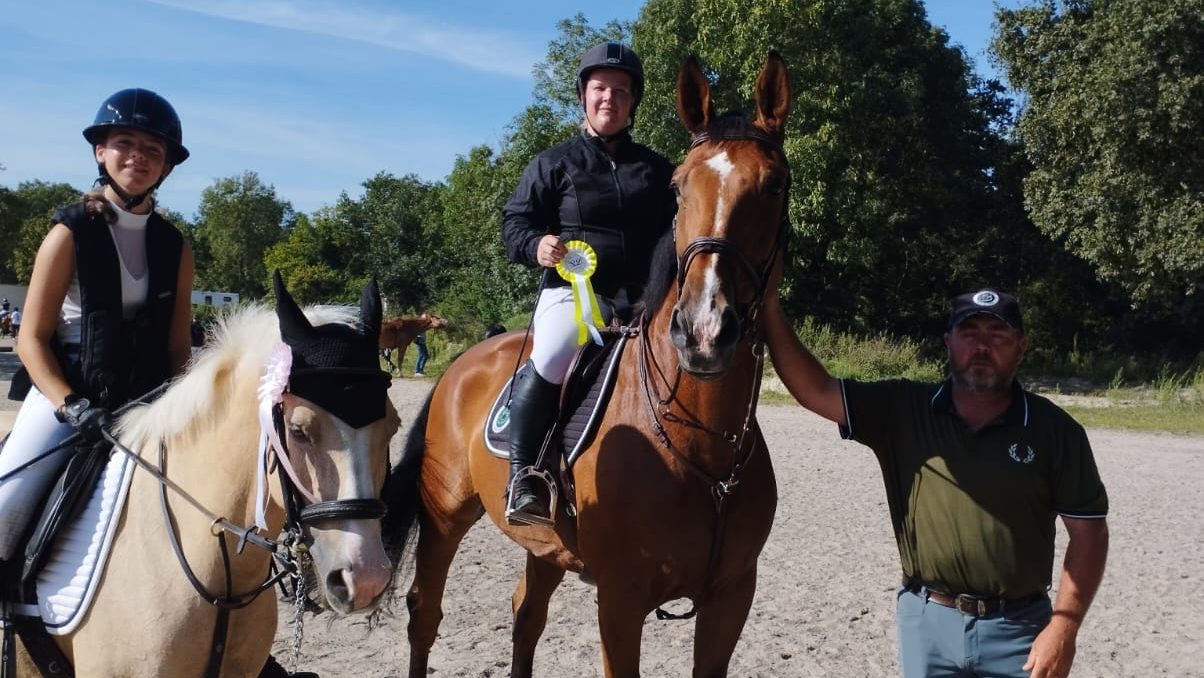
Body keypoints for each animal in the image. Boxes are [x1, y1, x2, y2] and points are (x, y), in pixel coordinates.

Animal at [382, 52, 792, 677]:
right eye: (679, 188)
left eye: (774, 186)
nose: (703, 331)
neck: (701, 444)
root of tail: (464, 364)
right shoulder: (620, 600)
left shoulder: (731, 597)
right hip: (445, 516)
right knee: (424, 612)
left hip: (546, 547)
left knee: (526, 616)